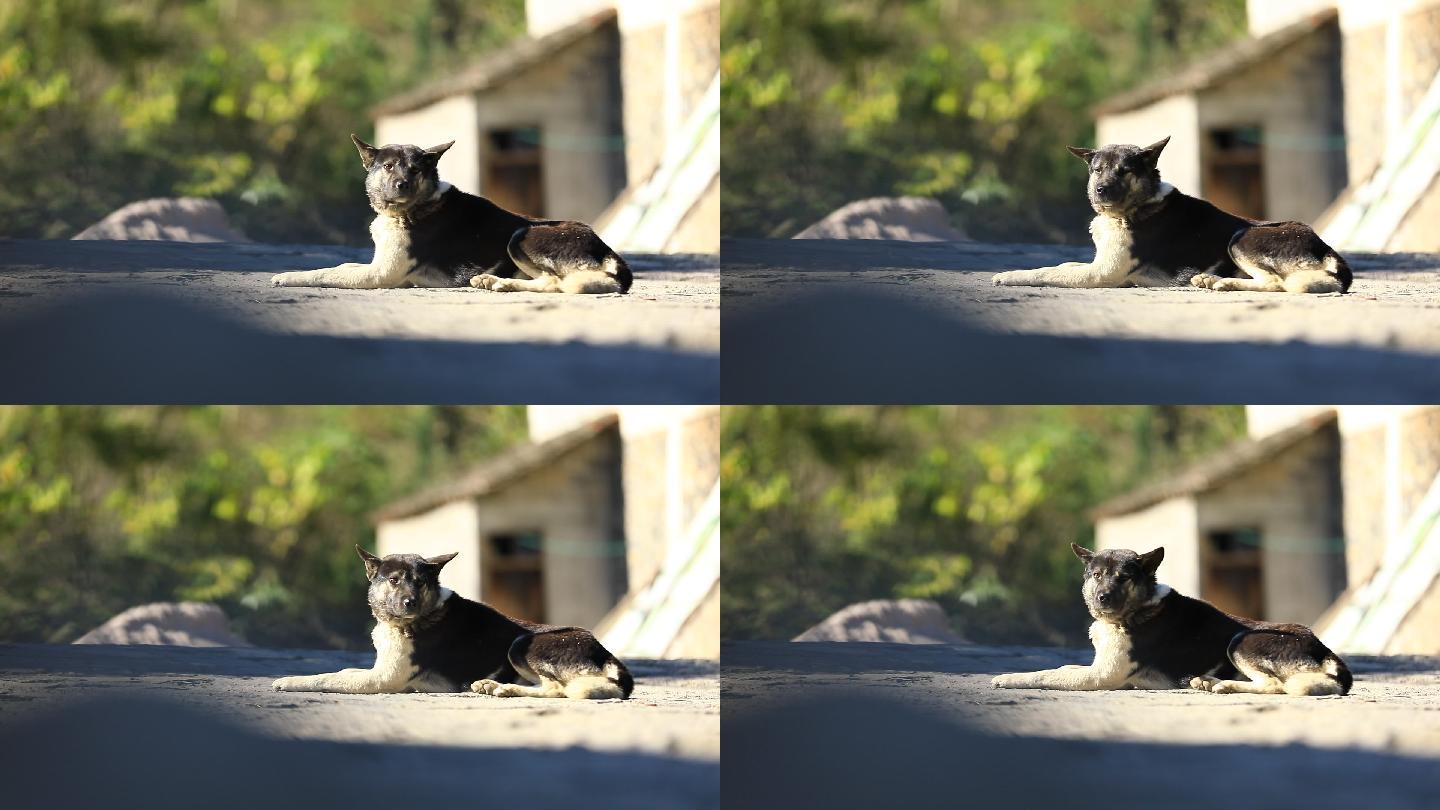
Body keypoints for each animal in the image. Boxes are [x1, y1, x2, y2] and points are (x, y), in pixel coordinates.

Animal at [270, 134, 630, 295]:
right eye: (388, 167)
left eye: (415, 169)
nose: (401, 184)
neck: (415, 207)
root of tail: (607, 251)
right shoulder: (377, 267)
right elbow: (342, 265)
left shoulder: (381, 275)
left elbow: (326, 271)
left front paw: (288, 276)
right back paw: (493, 282)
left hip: (521, 236)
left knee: (557, 283)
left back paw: (498, 282)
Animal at [272, 544, 633, 697]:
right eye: (394, 580)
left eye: (420, 582)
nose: (409, 602)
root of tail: (608, 656)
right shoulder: (379, 670)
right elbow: (343, 671)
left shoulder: (383, 679)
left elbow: (327, 677)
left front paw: (289, 680)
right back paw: (495, 687)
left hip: (523, 644)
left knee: (562, 690)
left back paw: (502, 689)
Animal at [990, 135, 1347, 292]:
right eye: (1097, 170)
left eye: (1124, 171)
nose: (1100, 190)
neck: (1136, 206)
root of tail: (1326, 249)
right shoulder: (1098, 265)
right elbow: (1062, 265)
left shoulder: (1102, 273)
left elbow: (1047, 272)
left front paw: (1010, 275)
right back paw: (1213, 280)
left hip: (1242, 237)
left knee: (1275, 282)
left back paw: (1219, 282)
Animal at [990, 541, 1347, 694]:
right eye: (1096, 575)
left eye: (1123, 577)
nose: (1102, 598)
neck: (1137, 609)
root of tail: (1323, 648)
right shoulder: (1097, 667)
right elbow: (1063, 667)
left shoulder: (1101, 676)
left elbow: (1045, 673)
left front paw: (1008, 677)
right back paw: (1209, 682)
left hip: (1241, 641)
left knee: (1275, 685)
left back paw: (1220, 685)